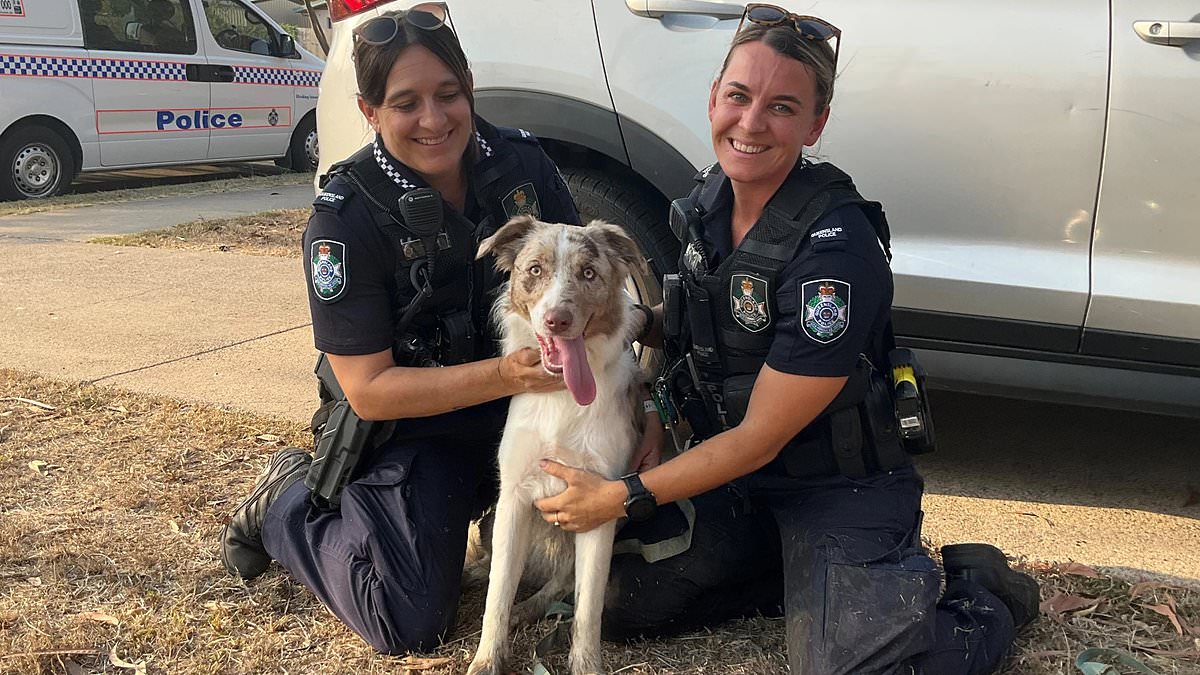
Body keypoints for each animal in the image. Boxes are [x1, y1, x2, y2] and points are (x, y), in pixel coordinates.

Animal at [468, 214, 652, 672]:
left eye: (588, 274)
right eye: (535, 270)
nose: (557, 320)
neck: (563, 397)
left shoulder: (599, 505)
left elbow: (588, 608)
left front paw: (585, 665)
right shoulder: (514, 496)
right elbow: (497, 592)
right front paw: (487, 659)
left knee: (561, 582)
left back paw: (531, 607)